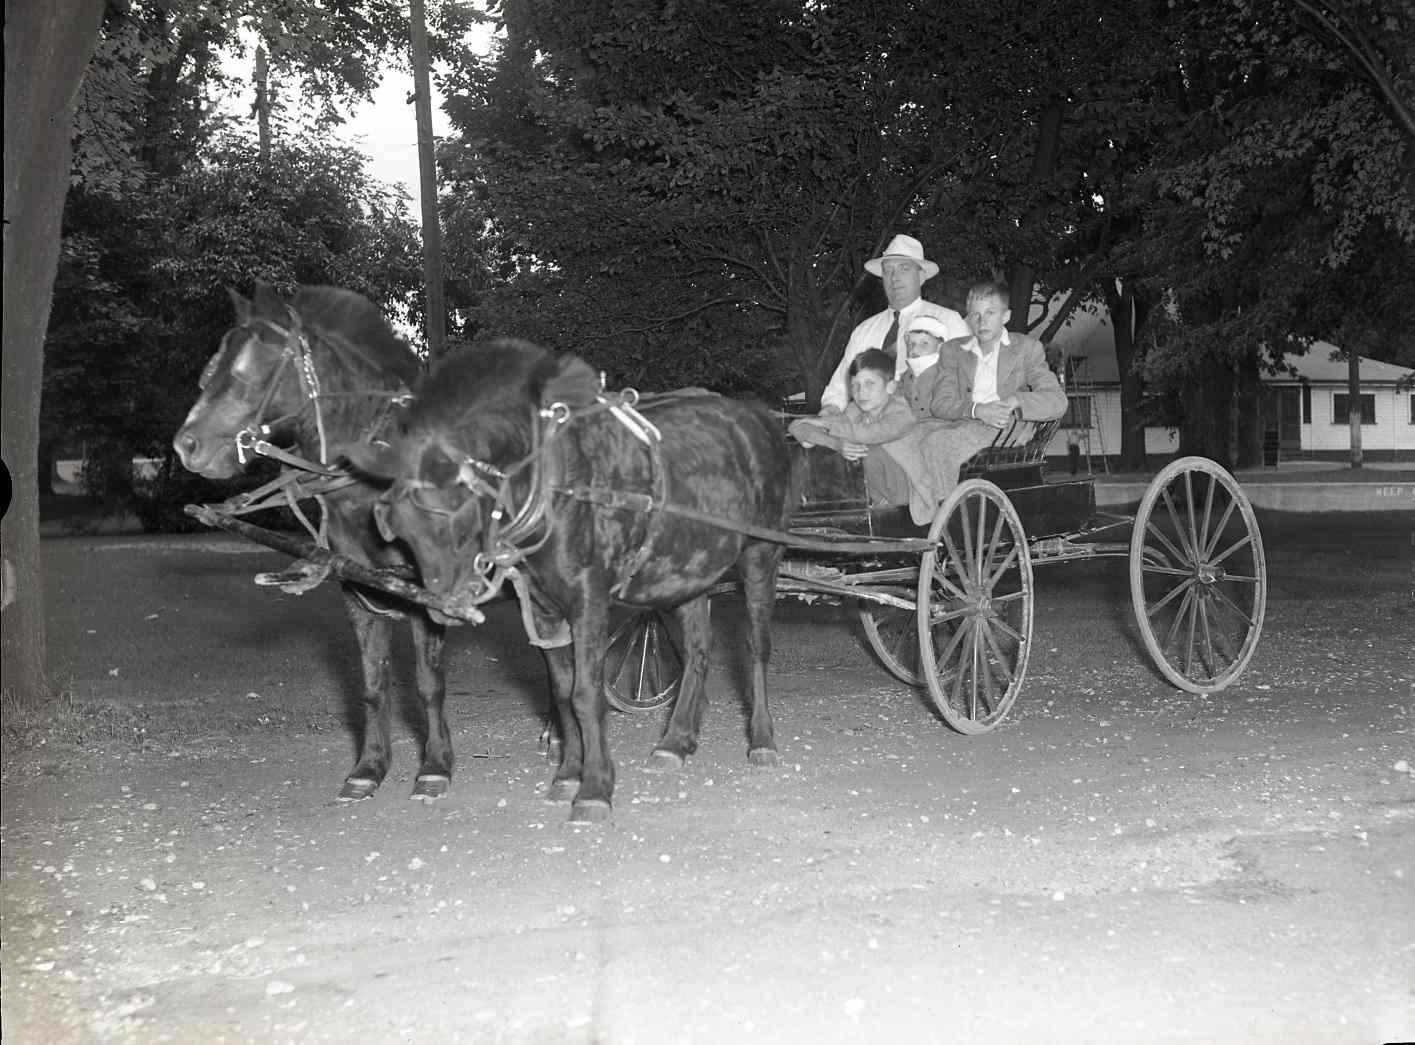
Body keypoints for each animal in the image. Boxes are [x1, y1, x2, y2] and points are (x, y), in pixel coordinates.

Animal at [172, 281, 452, 803]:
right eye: (210, 369)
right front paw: (369, 767)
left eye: (245, 371)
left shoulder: (429, 593)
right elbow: (373, 684)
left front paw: (436, 766)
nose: (186, 446)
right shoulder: (358, 590)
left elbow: (429, 684)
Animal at [342, 343, 803, 825]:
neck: (551, 484)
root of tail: (760, 416)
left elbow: (586, 694)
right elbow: (564, 692)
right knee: (698, 649)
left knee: (755, 648)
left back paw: (762, 740)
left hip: (761, 555)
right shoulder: (545, 611)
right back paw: (675, 741)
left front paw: (595, 787)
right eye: (399, 527)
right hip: (690, 567)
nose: (439, 606)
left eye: (456, 512)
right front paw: (568, 774)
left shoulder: (588, 603)